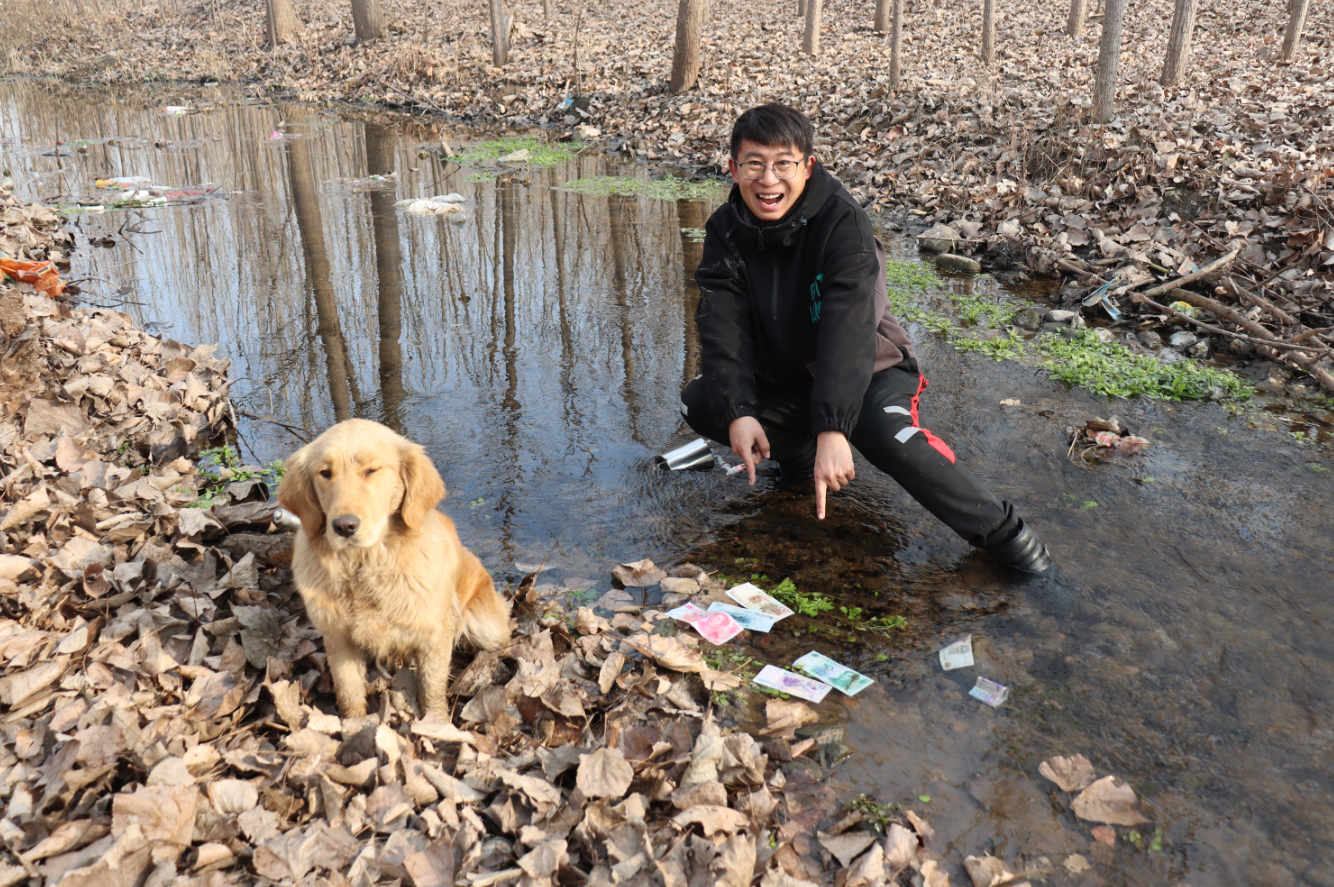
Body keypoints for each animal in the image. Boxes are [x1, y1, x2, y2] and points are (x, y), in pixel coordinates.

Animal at [276, 418, 509, 714]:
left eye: (371, 470)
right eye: (325, 473)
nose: (344, 526)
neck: (366, 566)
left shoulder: (436, 632)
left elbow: (431, 689)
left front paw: (436, 721)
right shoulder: (338, 638)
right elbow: (349, 691)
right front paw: (353, 722)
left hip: (489, 628)